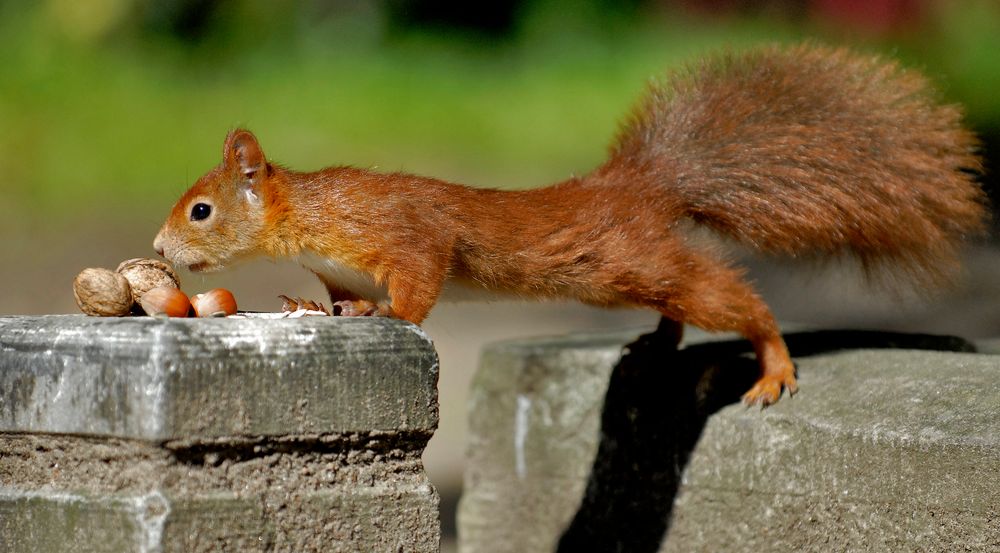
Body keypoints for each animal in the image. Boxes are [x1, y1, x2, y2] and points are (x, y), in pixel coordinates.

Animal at [152, 44, 988, 406]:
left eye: (201, 209)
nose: (158, 247)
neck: (311, 214)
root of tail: (639, 184)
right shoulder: (342, 264)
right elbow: (339, 295)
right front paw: (317, 306)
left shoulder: (404, 234)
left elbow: (418, 285)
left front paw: (387, 315)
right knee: (687, 298)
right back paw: (660, 340)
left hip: (634, 261)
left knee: (733, 298)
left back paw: (773, 362)